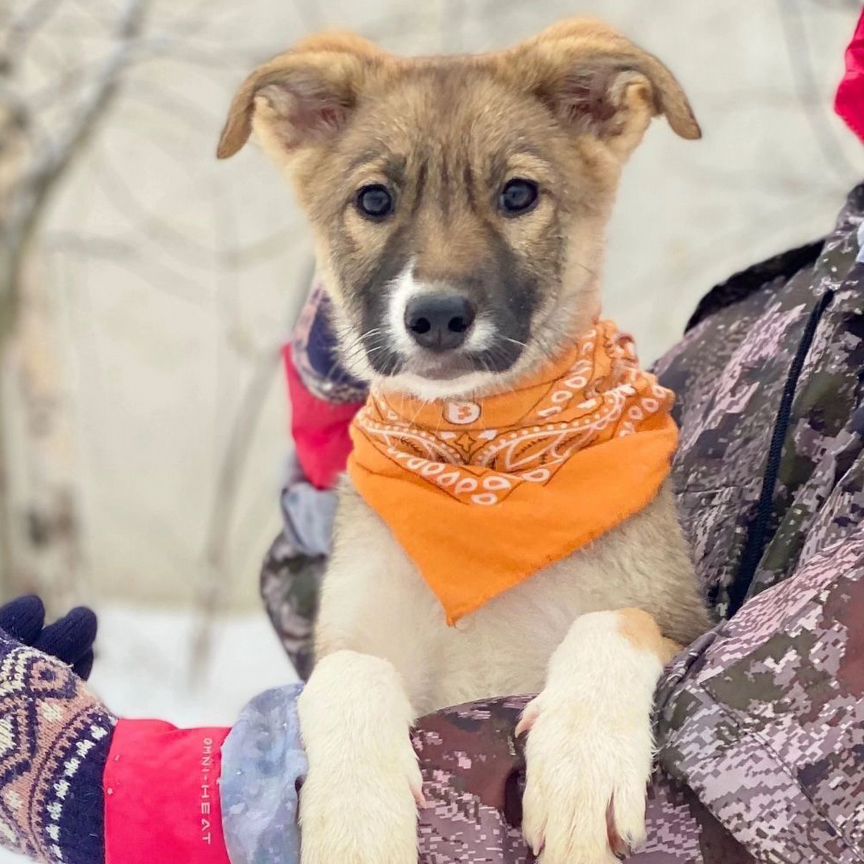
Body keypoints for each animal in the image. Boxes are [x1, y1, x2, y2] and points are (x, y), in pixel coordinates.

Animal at [219, 20, 712, 864]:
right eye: (374, 200)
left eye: (518, 194)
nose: (438, 316)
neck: (477, 462)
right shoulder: (355, 634)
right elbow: (347, 675)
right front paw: (356, 815)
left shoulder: (688, 623)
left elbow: (615, 622)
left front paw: (582, 766)